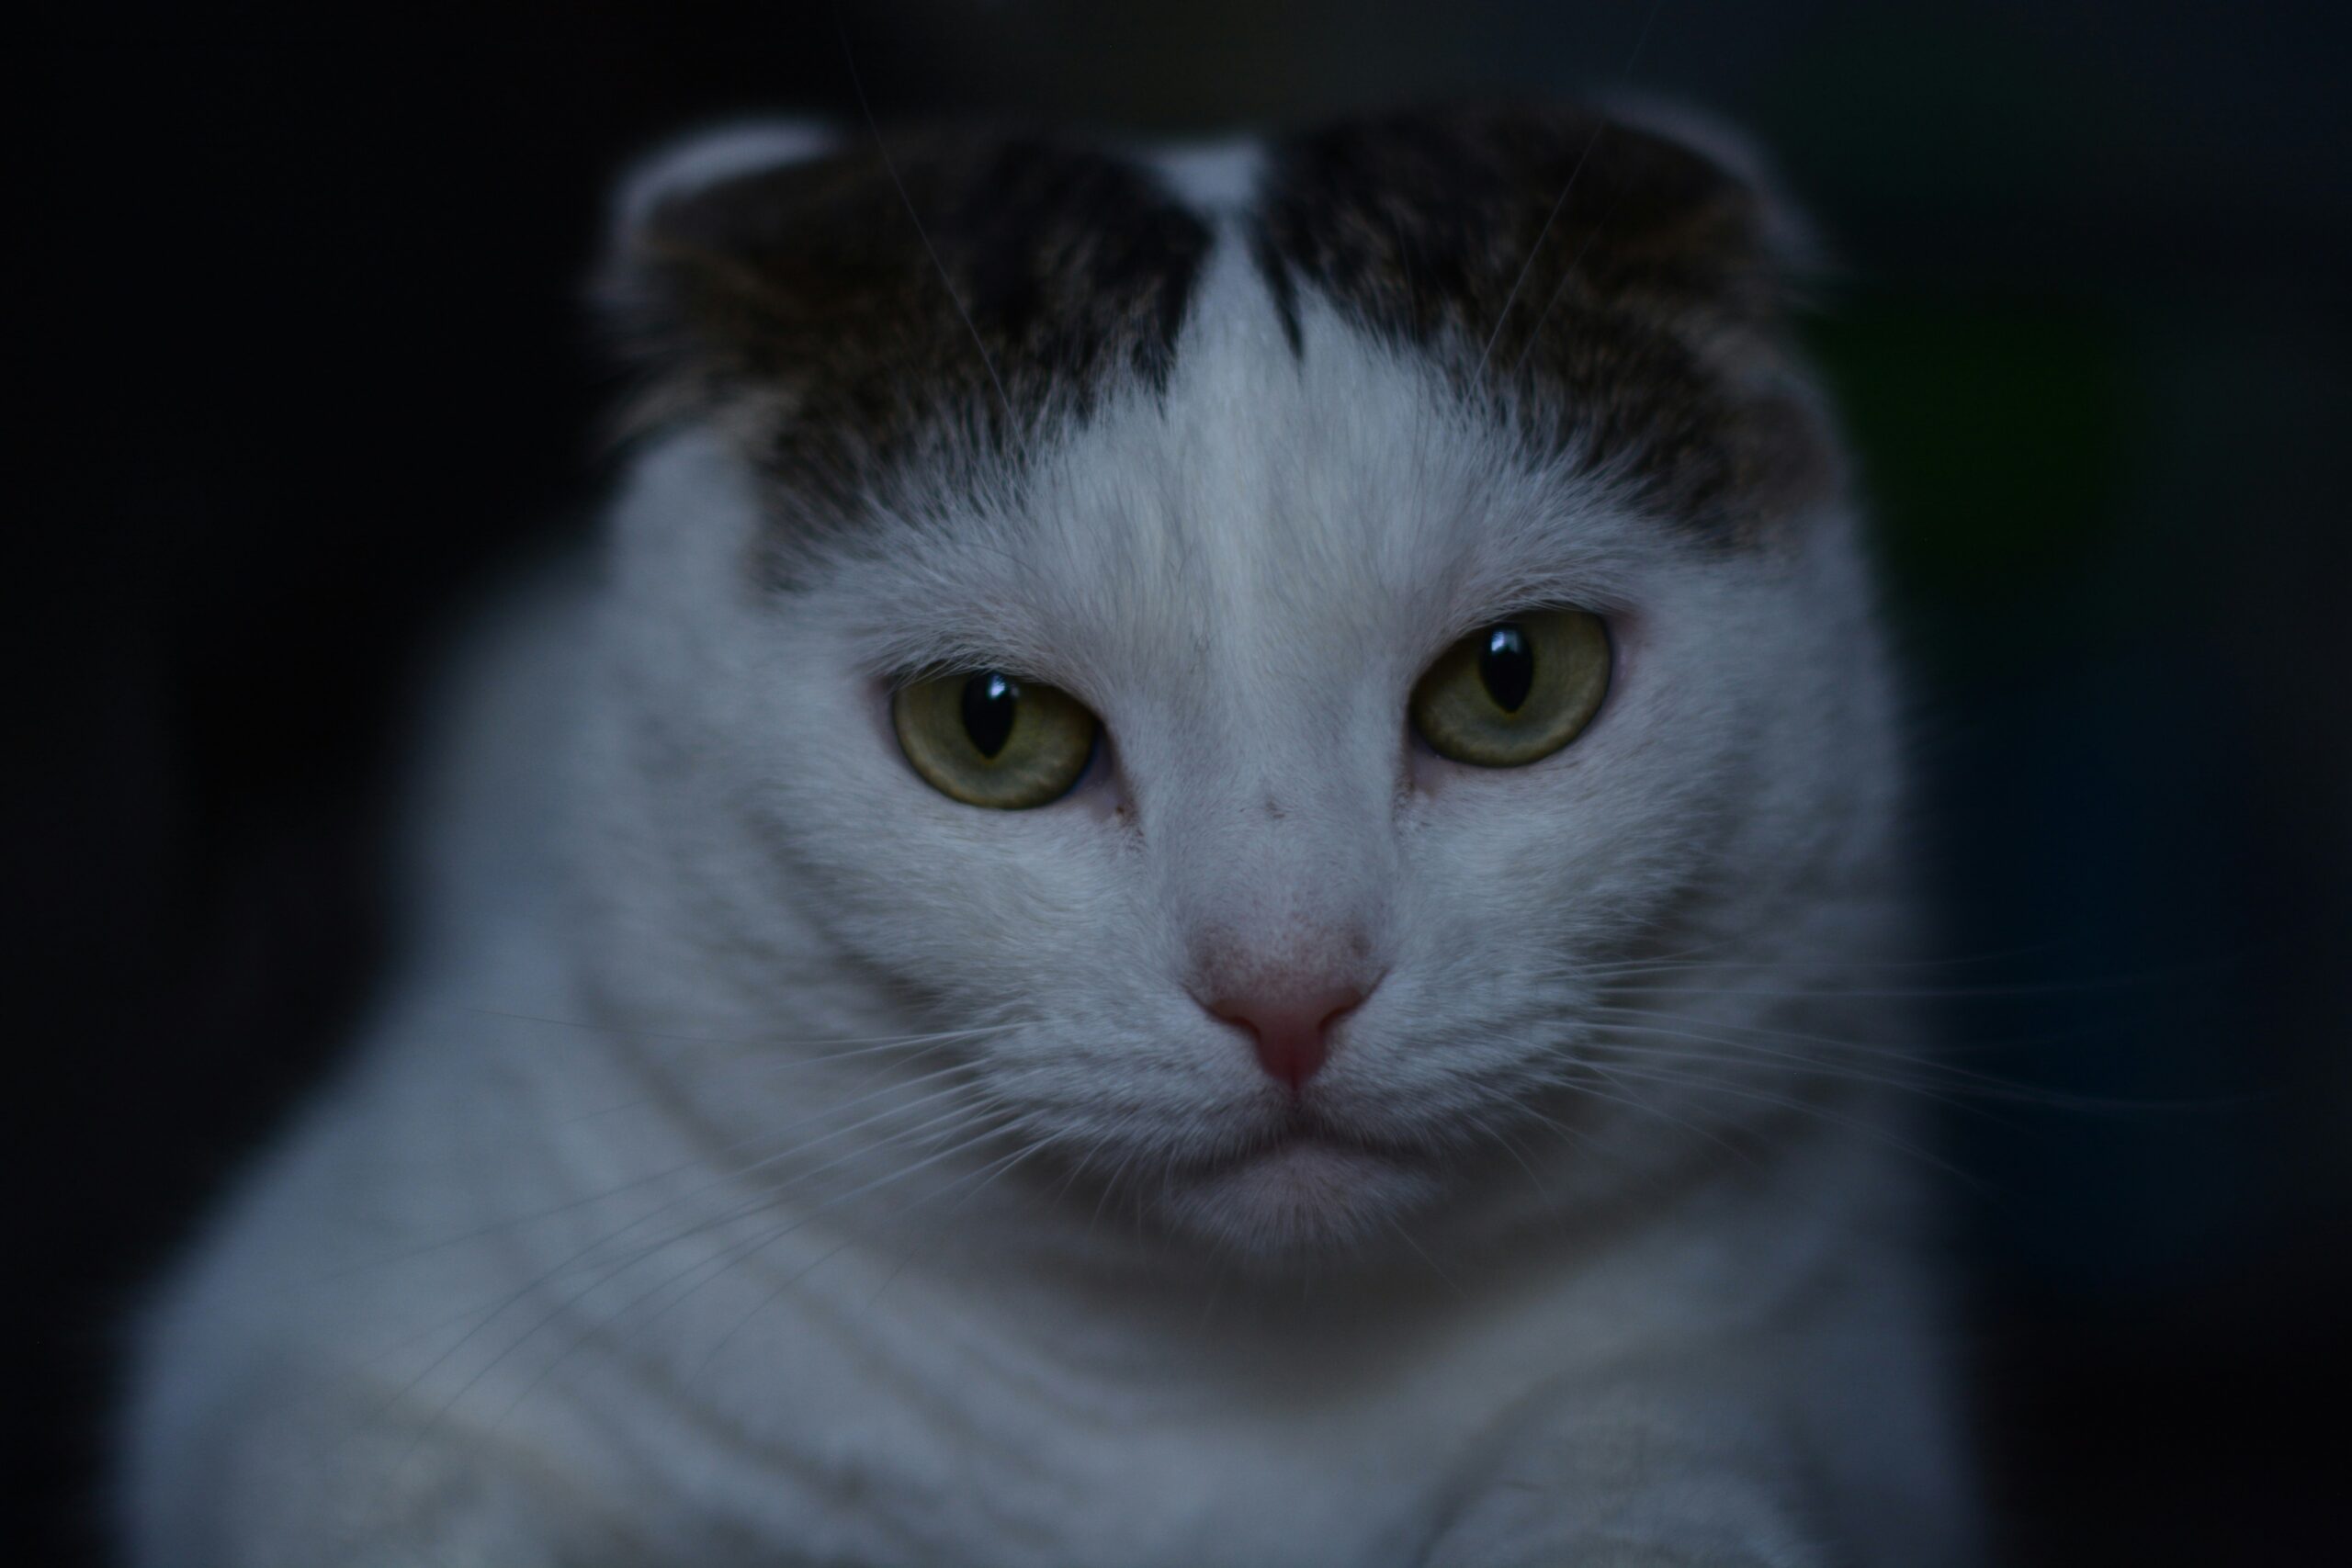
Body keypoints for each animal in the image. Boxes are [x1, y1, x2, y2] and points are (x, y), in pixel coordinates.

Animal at [114, 104, 1984, 1561]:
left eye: (1515, 680)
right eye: (992, 724)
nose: (1288, 982)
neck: (1207, 1399)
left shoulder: (1808, 1368)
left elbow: (1647, 1467)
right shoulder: (312, 1349)